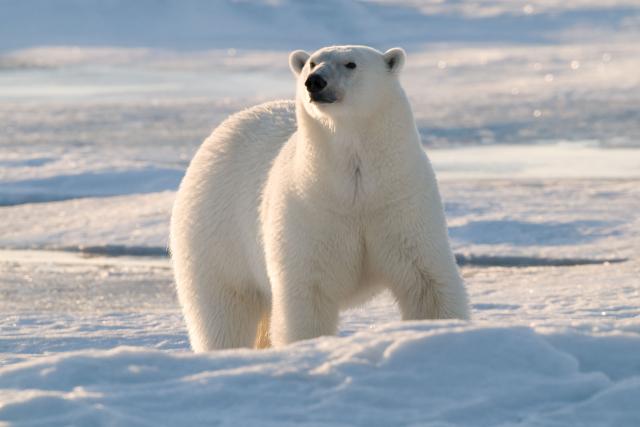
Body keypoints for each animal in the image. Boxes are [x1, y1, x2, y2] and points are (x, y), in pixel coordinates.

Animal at [170, 45, 470, 352]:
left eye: (351, 64)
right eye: (312, 63)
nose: (315, 81)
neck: (355, 189)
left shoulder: (400, 202)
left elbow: (426, 282)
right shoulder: (309, 211)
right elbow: (307, 295)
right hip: (217, 234)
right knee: (224, 311)